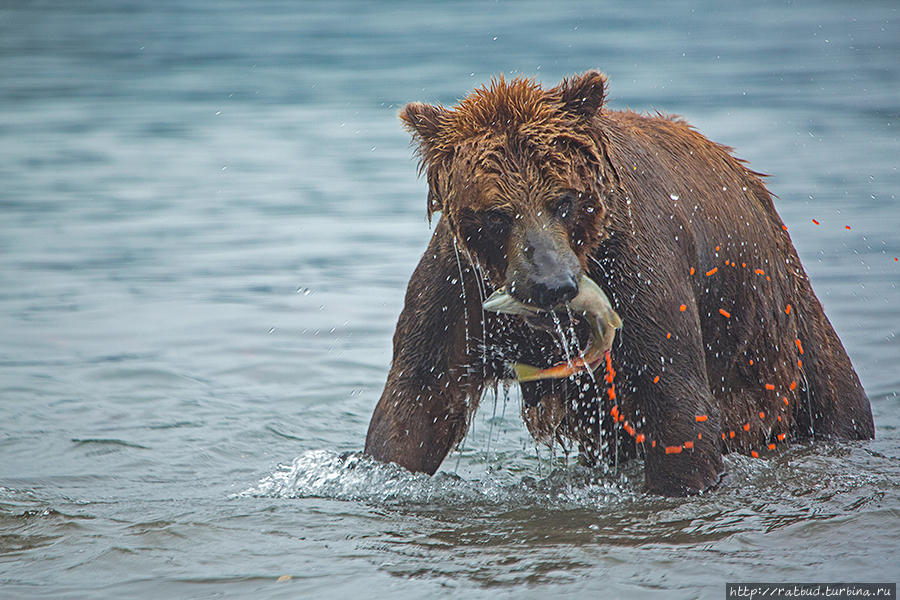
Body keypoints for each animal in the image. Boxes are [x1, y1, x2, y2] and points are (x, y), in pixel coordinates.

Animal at [362, 70, 876, 494]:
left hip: (790, 348)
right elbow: (417, 402)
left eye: (562, 200)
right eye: (496, 215)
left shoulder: (637, 269)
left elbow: (676, 406)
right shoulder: (460, 290)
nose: (553, 285)